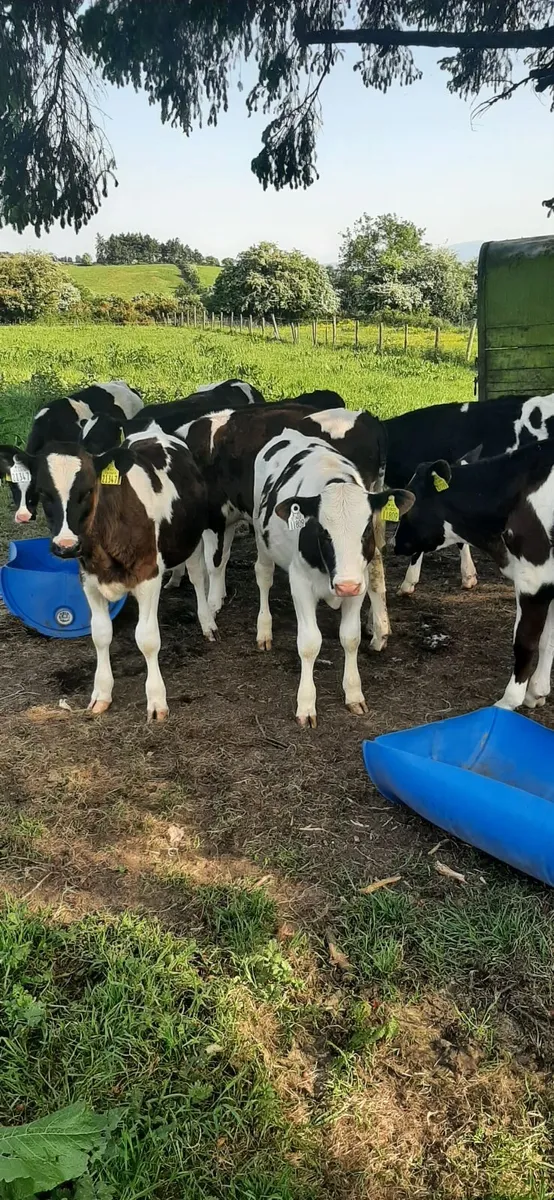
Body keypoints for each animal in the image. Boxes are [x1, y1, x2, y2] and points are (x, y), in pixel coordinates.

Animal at [0, 425, 215, 721]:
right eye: (43, 493)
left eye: (89, 490)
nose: (66, 546)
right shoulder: (89, 579)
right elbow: (100, 634)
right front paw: (101, 693)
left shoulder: (148, 574)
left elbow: (147, 639)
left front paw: (156, 700)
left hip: (192, 538)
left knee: (196, 576)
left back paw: (207, 622)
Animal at [253, 429, 413, 726]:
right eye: (323, 532)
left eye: (366, 531)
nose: (345, 585)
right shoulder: (300, 583)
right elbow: (309, 643)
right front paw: (306, 705)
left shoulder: (359, 583)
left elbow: (350, 638)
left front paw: (353, 694)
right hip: (261, 537)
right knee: (264, 577)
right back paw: (264, 630)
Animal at [394, 437, 554, 711]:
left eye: (410, 504)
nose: (394, 542)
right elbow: (548, 638)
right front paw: (537, 691)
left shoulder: (534, 576)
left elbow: (525, 640)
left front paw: (509, 701)